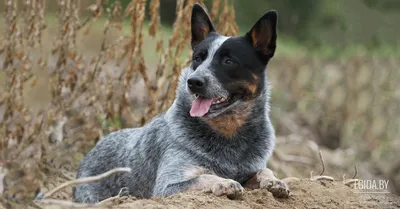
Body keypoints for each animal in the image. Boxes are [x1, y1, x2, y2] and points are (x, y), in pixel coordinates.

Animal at [72, 2, 290, 202]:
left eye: (229, 61)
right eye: (197, 58)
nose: (193, 81)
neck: (229, 134)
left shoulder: (250, 169)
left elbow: (263, 171)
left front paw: (275, 180)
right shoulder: (167, 186)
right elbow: (204, 177)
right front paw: (225, 182)